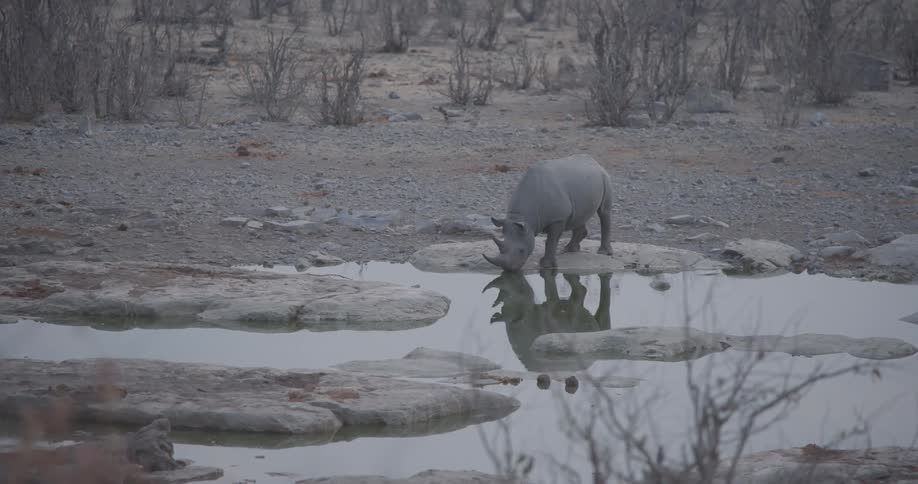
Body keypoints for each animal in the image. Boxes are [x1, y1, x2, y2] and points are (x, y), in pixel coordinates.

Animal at [484, 154, 614, 271]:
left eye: (521, 251)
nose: (509, 269)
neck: (524, 218)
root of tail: (595, 161)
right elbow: (551, 240)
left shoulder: (558, 219)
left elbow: (551, 241)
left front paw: (546, 266)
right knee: (578, 215)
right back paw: (568, 249)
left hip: (604, 177)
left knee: (604, 211)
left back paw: (603, 252)